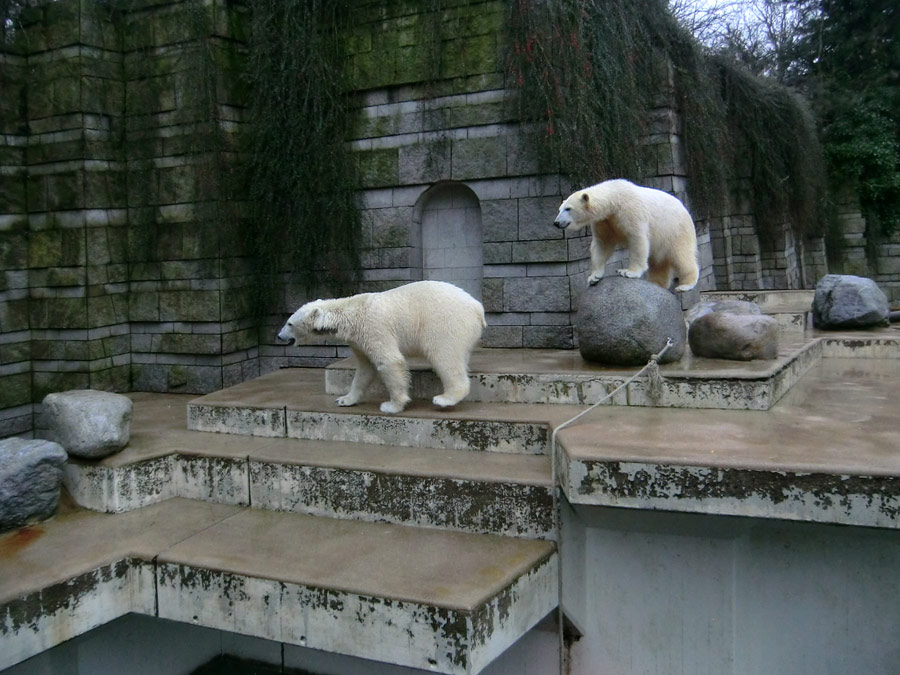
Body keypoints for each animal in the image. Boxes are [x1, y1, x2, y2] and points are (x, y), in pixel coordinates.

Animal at [276, 278, 486, 414]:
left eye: (289, 323)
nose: (279, 336)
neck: (350, 313)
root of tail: (477, 307)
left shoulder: (373, 328)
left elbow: (390, 361)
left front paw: (392, 406)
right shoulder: (358, 340)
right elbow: (364, 369)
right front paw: (345, 399)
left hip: (444, 323)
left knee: (444, 356)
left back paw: (444, 398)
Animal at [552, 180, 700, 294]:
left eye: (568, 209)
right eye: (559, 209)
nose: (556, 223)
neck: (614, 198)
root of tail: (685, 209)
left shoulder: (630, 211)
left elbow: (637, 239)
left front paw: (628, 272)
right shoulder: (604, 220)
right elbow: (602, 244)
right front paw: (594, 277)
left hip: (675, 230)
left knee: (681, 256)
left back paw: (685, 285)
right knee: (659, 263)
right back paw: (656, 283)